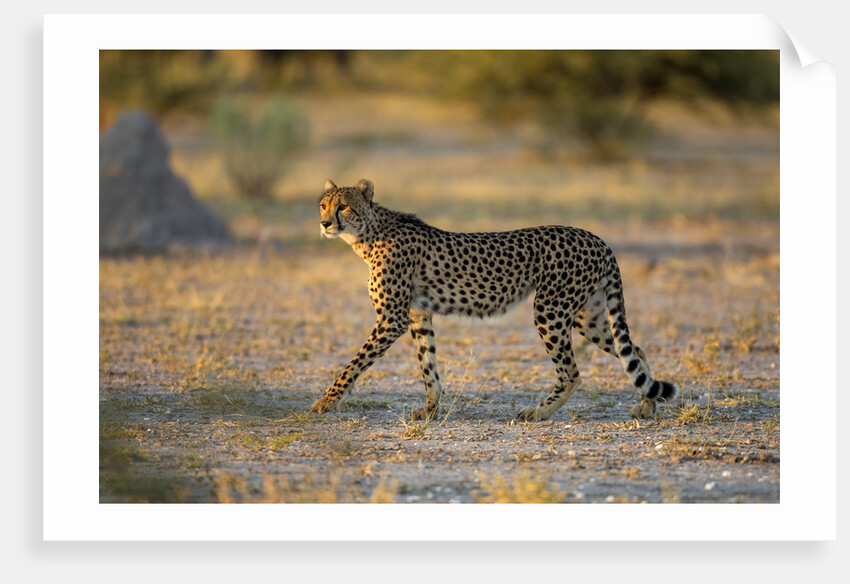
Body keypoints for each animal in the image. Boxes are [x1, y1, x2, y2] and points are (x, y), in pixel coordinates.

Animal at [311, 178, 678, 421]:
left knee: (572, 372)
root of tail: (597, 238)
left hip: (549, 310)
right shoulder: (417, 316)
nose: (325, 223)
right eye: (323, 204)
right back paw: (648, 405)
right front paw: (431, 410)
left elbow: (354, 364)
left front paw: (327, 402)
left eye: (344, 206)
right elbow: (429, 367)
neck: (369, 234)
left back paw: (538, 412)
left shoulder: (392, 319)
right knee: (635, 350)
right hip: (587, 315)